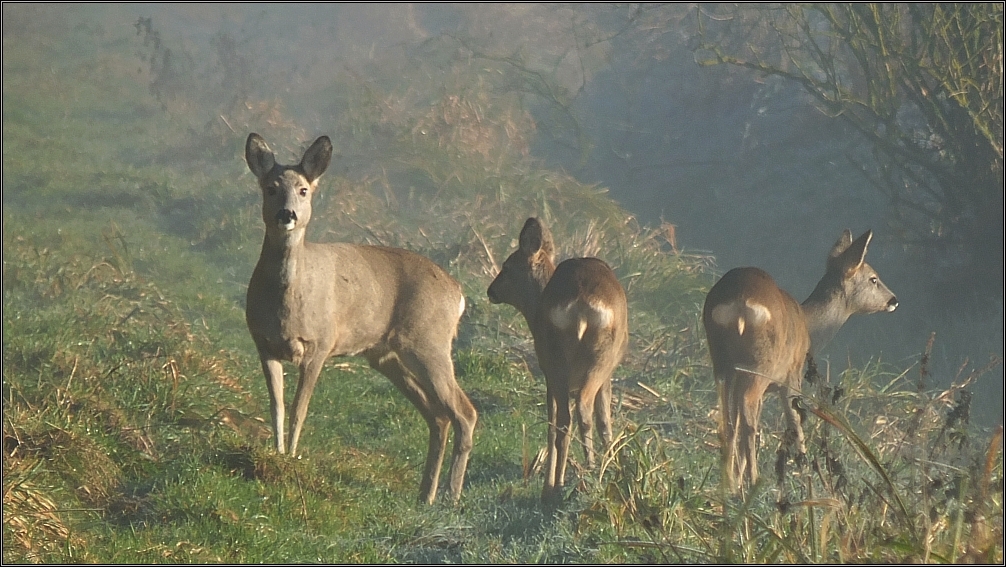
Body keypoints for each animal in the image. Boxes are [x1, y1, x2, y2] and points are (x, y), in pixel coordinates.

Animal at [245, 133, 476, 504]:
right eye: (270, 187)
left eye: (304, 189)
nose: (286, 213)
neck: (287, 303)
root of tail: (458, 294)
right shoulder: (263, 344)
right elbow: (277, 406)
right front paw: (276, 456)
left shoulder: (321, 344)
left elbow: (298, 410)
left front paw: (292, 459)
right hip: (387, 355)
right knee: (438, 415)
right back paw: (424, 495)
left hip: (430, 343)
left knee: (465, 412)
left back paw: (451, 496)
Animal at [486, 219, 627, 502]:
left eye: (506, 267)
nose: (490, 291)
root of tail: (581, 305)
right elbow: (602, 419)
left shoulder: (553, 371)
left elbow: (590, 421)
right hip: (590, 359)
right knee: (576, 411)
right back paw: (581, 475)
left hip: (559, 358)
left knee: (565, 419)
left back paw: (564, 483)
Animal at [704, 229, 901, 492]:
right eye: (873, 279)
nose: (893, 300)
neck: (809, 327)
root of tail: (740, 303)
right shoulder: (792, 377)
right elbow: (796, 423)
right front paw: (808, 477)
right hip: (759, 364)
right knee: (747, 413)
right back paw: (753, 482)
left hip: (721, 359)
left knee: (728, 417)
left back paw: (730, 483)